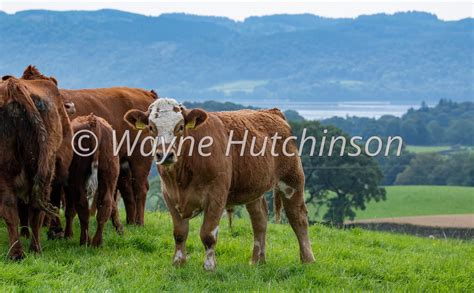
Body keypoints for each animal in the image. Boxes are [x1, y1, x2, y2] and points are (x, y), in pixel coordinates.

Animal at [21, 66, 156, 226]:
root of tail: (146, 93)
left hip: (141, 156)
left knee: (140, 187)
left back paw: (138, 223)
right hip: (123, 162)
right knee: (127, 189)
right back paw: (129, 223)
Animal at [65, 113, 124, 245]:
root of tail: (93, 121)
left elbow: (69, 210)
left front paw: (68, 234)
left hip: (77, 176)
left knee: (81, 205)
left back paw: (84, 241)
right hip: (109, 174)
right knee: (105, 205)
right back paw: (97, 242)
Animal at [124, 97, 314, 270]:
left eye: (180, 127)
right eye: (151, 127)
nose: (165, 155)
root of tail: (271, 111)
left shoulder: (216, 196)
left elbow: (208, 234)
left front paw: (209, 266)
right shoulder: (169, 196)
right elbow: (179, 233)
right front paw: (178, 262)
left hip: (292, 180)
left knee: (298, 217)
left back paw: (307, 259)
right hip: (253, 188)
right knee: (259, 219)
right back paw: (257, 261)